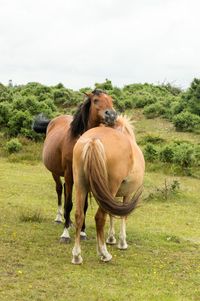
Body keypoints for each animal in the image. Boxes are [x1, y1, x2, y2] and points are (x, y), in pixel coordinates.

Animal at [32, 89, 117, 241]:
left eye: (111, 100)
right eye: (95, 100)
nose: (111, 115)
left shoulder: (86, 175)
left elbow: (84, 205)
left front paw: (82, 232)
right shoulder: (69, 174)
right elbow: (69, 204)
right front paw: (65, 234)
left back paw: (69, 221)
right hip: (56, 173)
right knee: (60, 190)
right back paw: (59, 218)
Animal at [71, 115, 144, 262]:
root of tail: (93, 141)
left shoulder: (110, 196)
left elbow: (111, 213)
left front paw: (111, 238)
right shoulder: (127, 193)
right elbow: (123, 215)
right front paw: (122, 242)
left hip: (81, 185)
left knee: (79, 215)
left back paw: (77, 255)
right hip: (110, 187)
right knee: (99, 218)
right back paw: (104, 254)